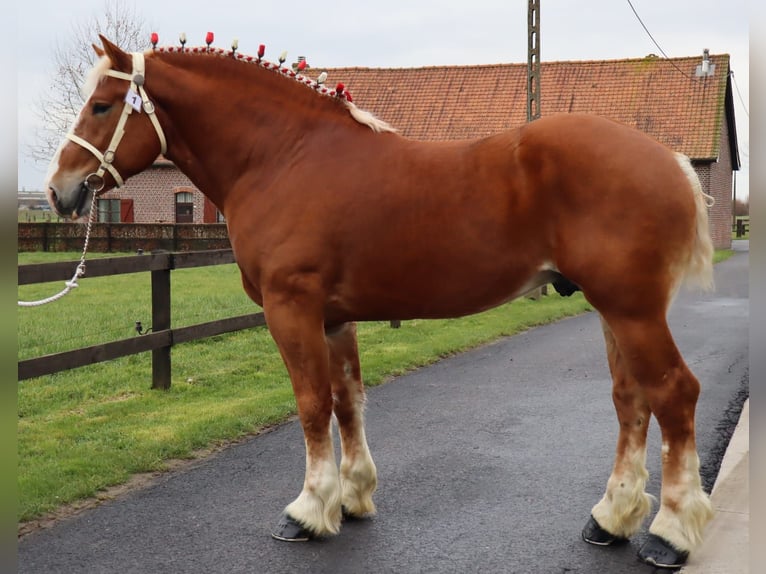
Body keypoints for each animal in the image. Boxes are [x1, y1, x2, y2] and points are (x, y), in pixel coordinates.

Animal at [45, 35, 715, 569]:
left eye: (102, 106)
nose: (59, 190)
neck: (284, 155)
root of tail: (671, 160)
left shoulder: (292, 309)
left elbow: (312, 405)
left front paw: (308, 510)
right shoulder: (334, 317)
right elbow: (348, 402)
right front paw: (352, 496)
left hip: (631, 310)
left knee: (673, 395)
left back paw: (669, 534)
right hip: (612, 311)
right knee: (631, 402)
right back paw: (610, 518)